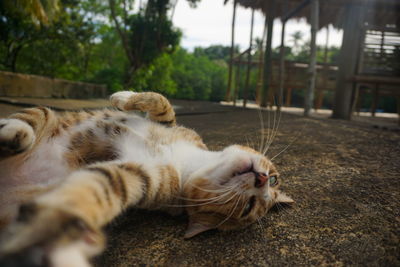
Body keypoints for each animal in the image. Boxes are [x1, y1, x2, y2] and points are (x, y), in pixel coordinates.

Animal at [0, 91, 294, 266]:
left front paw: (54, 222)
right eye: (275, 179)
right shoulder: (174, 127)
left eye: (248, 208)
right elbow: (161, 103)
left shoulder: (141, 176)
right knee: (29, 119)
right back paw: (16, 131)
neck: (187, 160)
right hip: (45, 112)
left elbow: (98, 187)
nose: (262, 180)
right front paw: (121, 97)